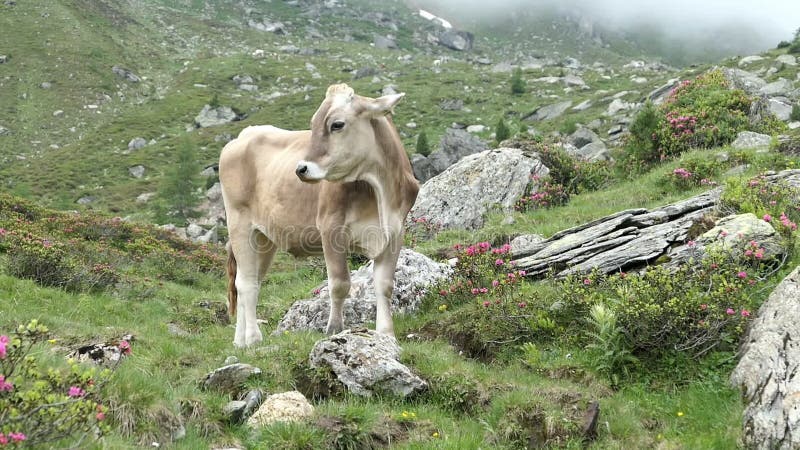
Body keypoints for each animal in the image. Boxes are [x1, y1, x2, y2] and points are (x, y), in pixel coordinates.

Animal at [219, 82, 418, 346]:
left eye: (337, 124)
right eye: (313, 124)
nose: (301, 169)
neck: (378, 189)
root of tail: (244, 135)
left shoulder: (394, 233)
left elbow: (385, 285)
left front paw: (386, 334)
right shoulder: (331, 228)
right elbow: (340, 283)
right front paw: (334, 329)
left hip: (264, 237)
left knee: (249, 279)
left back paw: (240, 341)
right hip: (239, 222)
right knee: (246, 283)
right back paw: (253, 337)